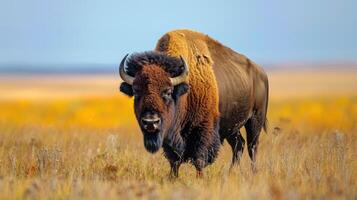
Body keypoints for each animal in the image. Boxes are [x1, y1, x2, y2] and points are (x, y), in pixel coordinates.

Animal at [119, 29, 268, 177]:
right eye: (136, 91)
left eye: (168, 91)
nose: (150, 122)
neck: (184, 93)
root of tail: (261, 73)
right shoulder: (170, 136)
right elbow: (174, 160)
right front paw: (173, 177)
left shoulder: (203, 130)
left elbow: (199, 159)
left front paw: (199, 178)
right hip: (232, 127)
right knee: (238, 145)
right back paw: (231, 172)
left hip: (255, 120)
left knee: (252, 147)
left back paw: (253, 173)